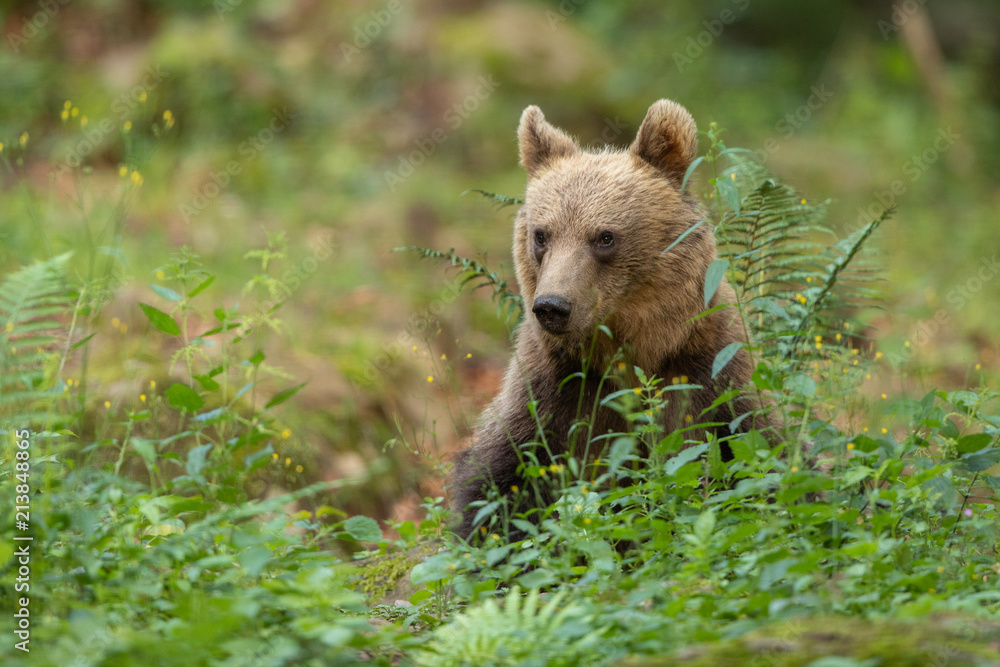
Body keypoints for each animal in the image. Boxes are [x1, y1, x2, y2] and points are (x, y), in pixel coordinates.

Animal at [452, 99, 764, 539]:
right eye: (541, 235)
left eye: (604, 237)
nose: (552, 305)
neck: (631, 353)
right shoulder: (553, 388)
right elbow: (499, 483)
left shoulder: (710, 374)